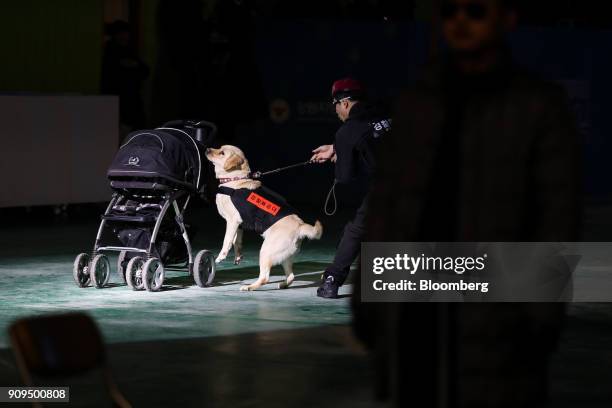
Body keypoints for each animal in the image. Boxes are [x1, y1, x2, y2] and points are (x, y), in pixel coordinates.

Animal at [206, 146, 322, 290]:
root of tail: (300, 226)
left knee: (265, 278)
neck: (234, 179)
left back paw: (250, 287)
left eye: (221, 153)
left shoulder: (233, 221)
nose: (207, 149)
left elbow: (227, 240)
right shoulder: (239, 225)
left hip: (265, 252)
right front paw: (238, 256)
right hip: (285, 257)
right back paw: (283, 284)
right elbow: (236, 242)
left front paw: (221, 256)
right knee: (291, 276)